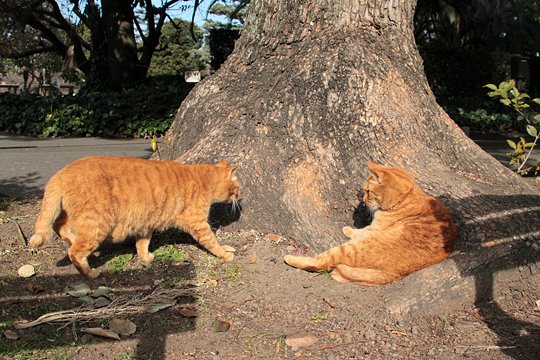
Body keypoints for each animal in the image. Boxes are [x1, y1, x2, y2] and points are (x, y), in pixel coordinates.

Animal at [29, 156, 239, 278]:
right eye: (237, 188)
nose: (239, 196)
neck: (204, 179)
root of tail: (61, 172)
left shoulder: (146, 224)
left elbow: (142, 243)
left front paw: (145, 257)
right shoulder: (199, 224)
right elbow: (212, 242)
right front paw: (225, 254)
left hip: (75, 217)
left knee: (59, 227)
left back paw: (71, 239)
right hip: (97, 224)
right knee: (75, 251)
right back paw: (90, 273)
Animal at [284, 162, 458, 286]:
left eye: (368, 192)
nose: (363, 200)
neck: (406, 199)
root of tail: (398, 274)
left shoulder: (374, 228)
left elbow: (362, 230)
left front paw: (348, 229)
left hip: (350, 249)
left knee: (321, 262)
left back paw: (290, 258)